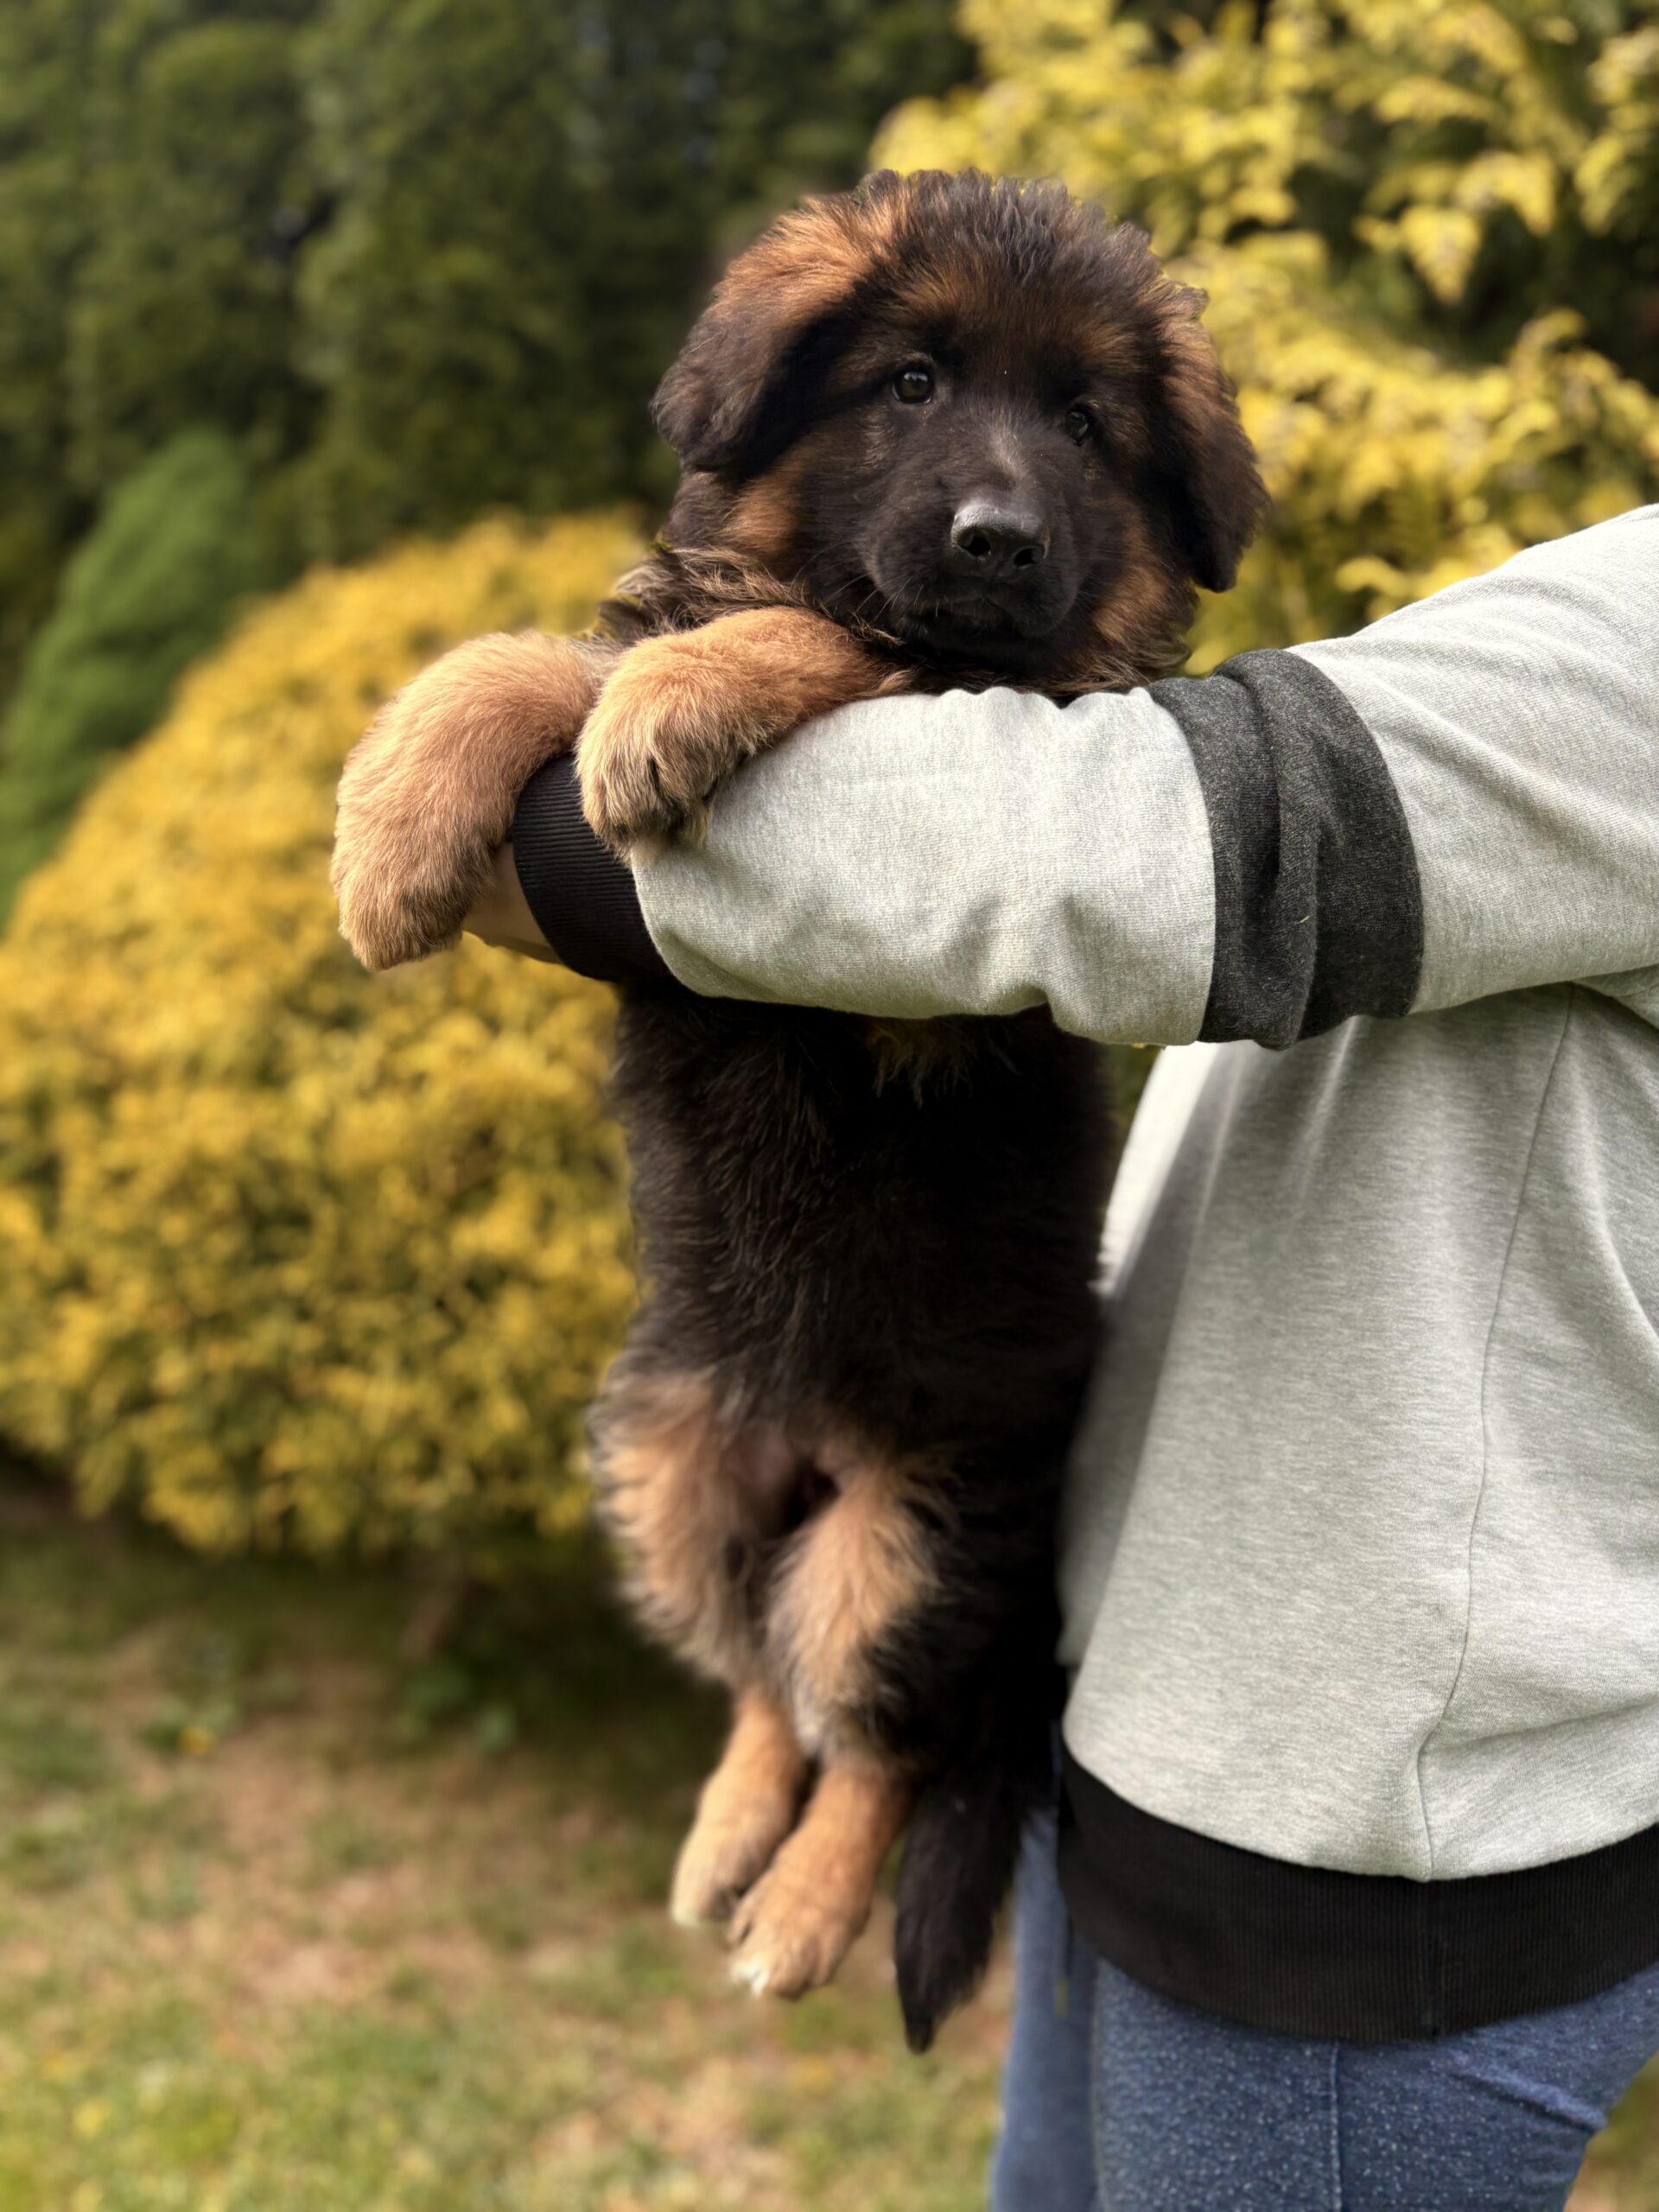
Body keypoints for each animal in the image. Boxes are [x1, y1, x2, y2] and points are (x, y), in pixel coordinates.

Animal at [333, 168, 1265, 2051]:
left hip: (908, 1540)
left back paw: (804, 1908)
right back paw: (722, 1839)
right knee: (765, 1679)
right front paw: (397, 824)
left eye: (1086, 426)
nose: (998, 540)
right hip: (669, 1461)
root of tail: (797, 1437)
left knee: (883, 1734)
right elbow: (549, 654)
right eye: (909, 382)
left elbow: (853, 640)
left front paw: (680, 701)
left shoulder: (984, 811)